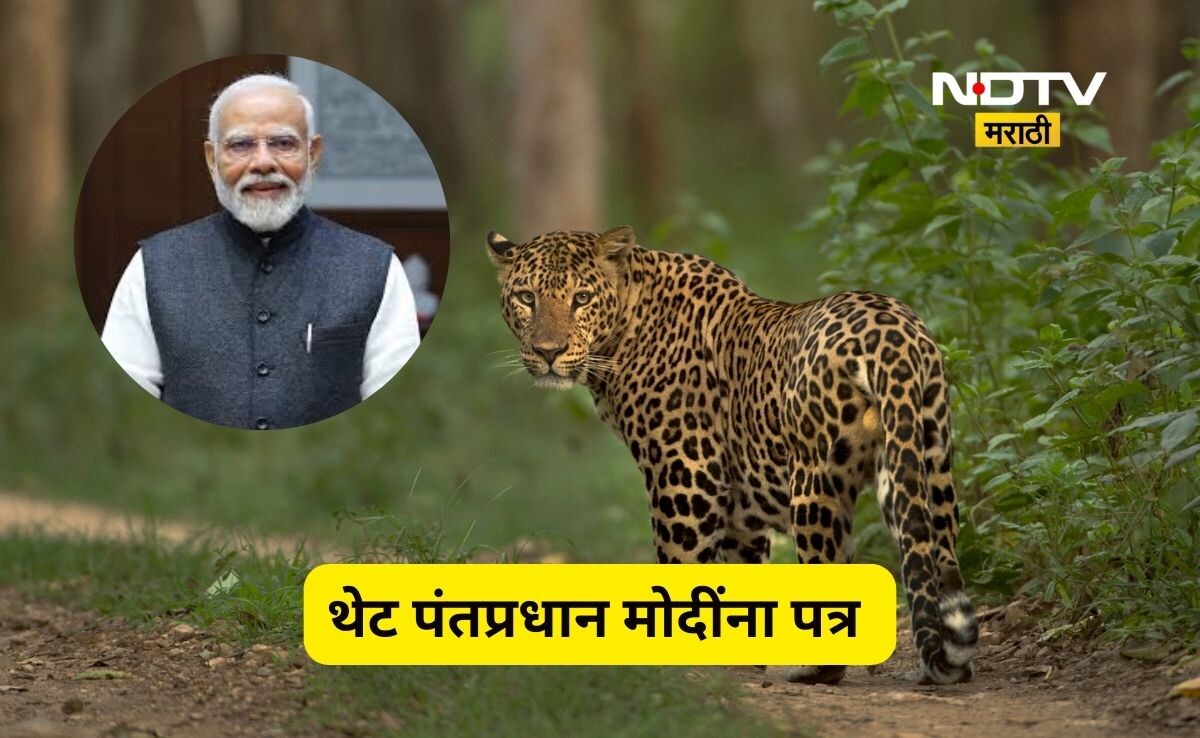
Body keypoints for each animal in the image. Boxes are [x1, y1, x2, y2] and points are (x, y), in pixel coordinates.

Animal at [486, 225, 978, 684]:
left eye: (582, 298)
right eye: (527, 298)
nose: (548, 352)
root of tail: (894, 335)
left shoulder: (686, 474)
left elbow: (681, 565)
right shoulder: (742, 505)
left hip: (815, 482)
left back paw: (814, 669)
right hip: (925, 460)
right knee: (938, 555)